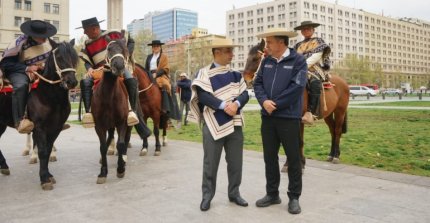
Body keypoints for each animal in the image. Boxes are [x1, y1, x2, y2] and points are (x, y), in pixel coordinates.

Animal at [0, 39, 79, 190]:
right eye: (58, 57)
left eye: (75, 57)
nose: (71, 82)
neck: (48, 96)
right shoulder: (39, 127)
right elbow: (42, 151)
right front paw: (44, 179)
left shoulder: (56, 128)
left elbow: (47, 150)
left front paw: (48, 175)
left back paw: (4, 166)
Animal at [93, 38, 134, 185]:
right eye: (109, 49)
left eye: (124, 50)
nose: (119, 66)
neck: (108, 95)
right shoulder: (99, 125)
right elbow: (102, 146)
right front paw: (102, 172)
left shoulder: (121, 122)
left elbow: (121, 144)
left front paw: (120, 168)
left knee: (125, 139)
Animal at [242, 39, 350, 169]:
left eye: (255, 58)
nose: (246, 79)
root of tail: (344, 83)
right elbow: (297, 141)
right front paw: (298, 162)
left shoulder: (297, 119)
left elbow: (297, 141)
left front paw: (295, 164)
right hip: (328, 114)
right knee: (332, 130)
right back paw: (330, 155)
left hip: (340, 111)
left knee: (337, 131)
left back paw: (336, 156)